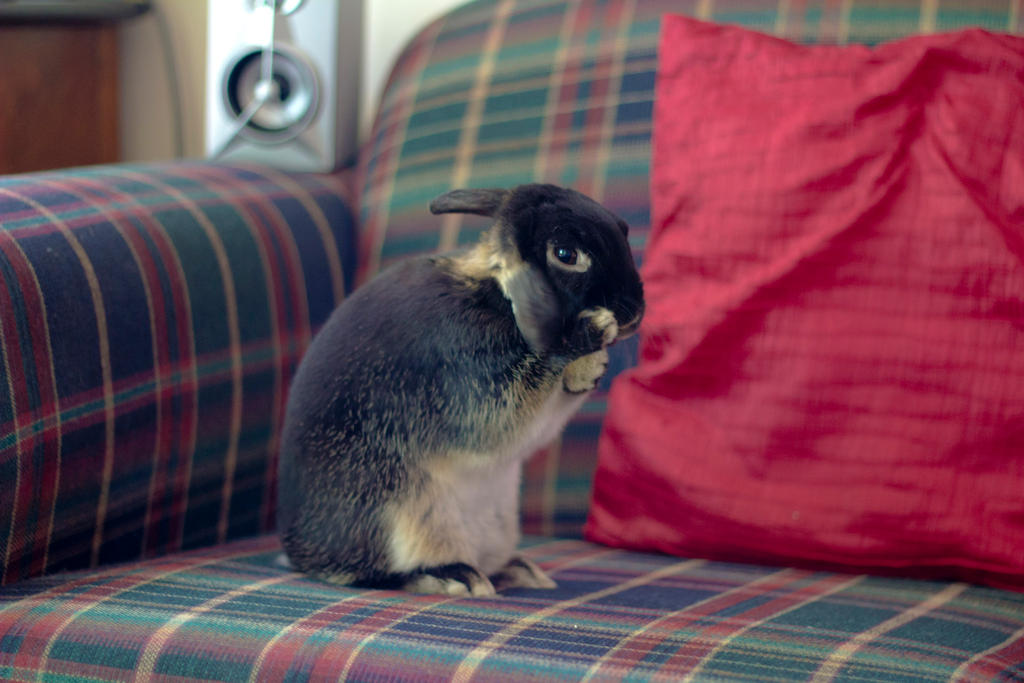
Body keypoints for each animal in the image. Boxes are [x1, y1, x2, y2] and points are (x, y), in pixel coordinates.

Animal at [277, 183, 644, 596]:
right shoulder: (473, 386)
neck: (496, 293)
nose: (634, 312)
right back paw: (457, 578)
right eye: (567, 255)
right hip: (389, 515)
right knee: (374, 573)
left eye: (623, 231)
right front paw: (592, 336)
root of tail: (299, 553)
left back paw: (517, 571)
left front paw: (588, 367)